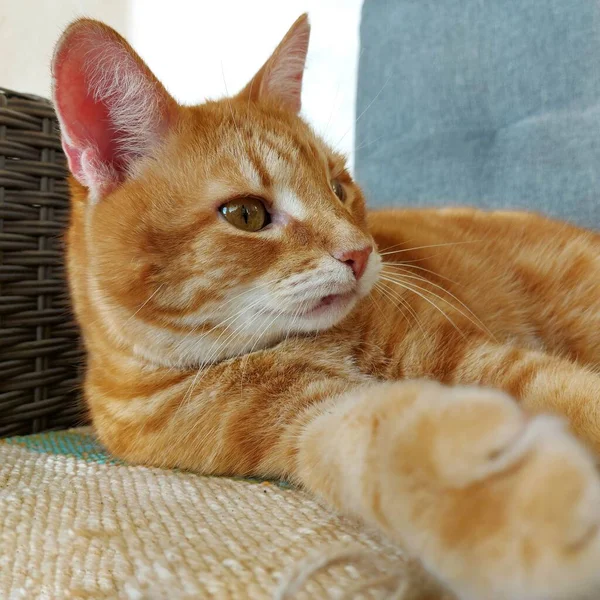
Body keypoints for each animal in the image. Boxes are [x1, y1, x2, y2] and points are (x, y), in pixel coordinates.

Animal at [52, 14, 600, 600]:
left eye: (339, 188)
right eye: (245, 214)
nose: (360, 253)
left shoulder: (464, 351)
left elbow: (564, 391)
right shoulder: (309, 417)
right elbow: (379, 446)